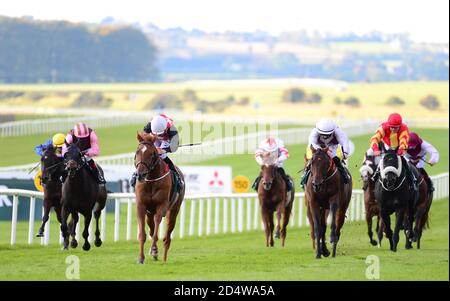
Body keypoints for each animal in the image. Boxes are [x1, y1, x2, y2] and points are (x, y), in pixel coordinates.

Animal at [134, 131, 185, 262]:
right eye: (137, 152)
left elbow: (157, 229)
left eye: (152, 154)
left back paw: (164, 257)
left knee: (167, 236)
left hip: (173, 211)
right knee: (151, 227)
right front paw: (141, 258)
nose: (141, 174)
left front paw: (153, 250)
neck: (151, 180)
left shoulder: (161, 206)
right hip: (149, 213)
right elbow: (142, 234)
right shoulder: (141, 206)